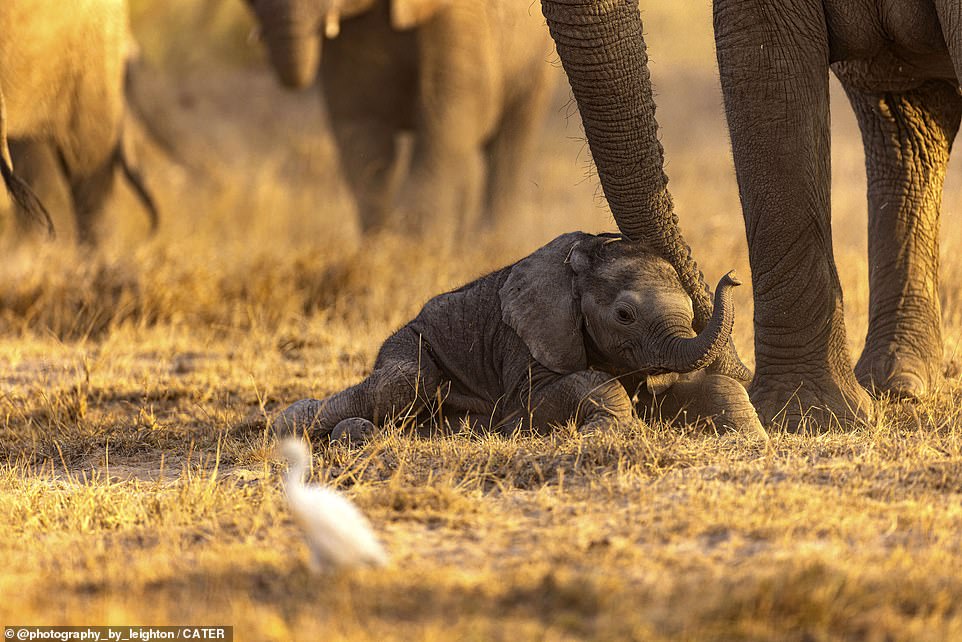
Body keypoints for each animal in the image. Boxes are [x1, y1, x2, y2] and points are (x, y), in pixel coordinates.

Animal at [242, 0, 556, 234]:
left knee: (509, 141)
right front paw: (381, 246)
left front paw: (417, 246)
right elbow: (361, 126)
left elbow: (447, 115)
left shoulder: (458, 17)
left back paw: (490, 243)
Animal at [274, 231, 760, 440]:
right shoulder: (526, 340)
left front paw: (752, 435)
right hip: (406, 341)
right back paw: (292, 424)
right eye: (624, 315)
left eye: (692, 314)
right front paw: (607, 432)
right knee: (403, 385)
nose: (734, 277)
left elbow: (701, 387)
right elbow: (537, 401)